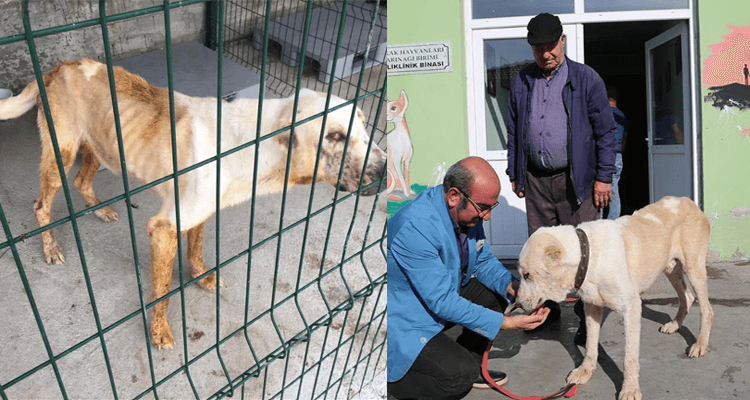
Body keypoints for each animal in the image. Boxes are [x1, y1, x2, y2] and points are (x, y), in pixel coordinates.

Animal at [516, 196, 716, 400]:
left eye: (527, 275)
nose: (518, 304)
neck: (587, 256)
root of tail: (687, 201)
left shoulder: (632, 308)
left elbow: (630, 358)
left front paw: (630, 389)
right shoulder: (592, 307)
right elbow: (590, 346)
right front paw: (585, 371)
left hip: (694, 268)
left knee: (707, 309)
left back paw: (700, 344)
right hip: (670, 267)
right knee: (688, 297)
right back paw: (675, 324)